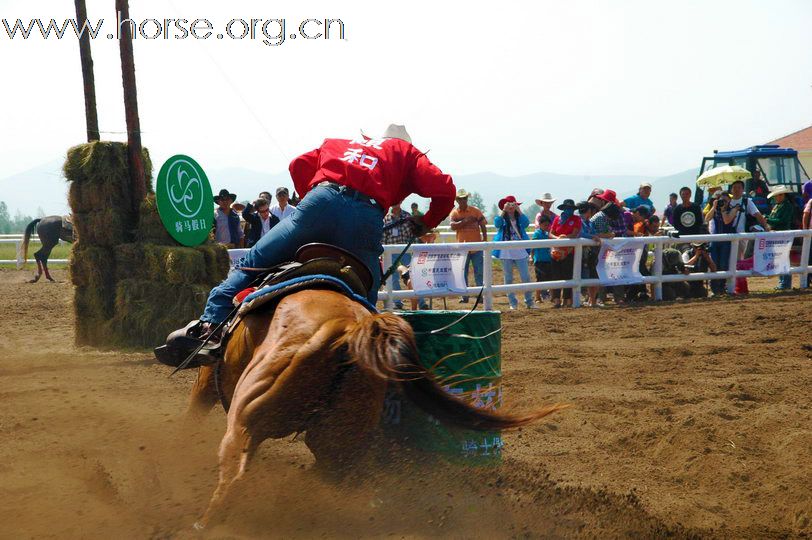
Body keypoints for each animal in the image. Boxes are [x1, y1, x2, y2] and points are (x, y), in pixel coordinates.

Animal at [186, 288, 564, 528]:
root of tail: (350, 327)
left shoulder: (205, 381)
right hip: (338, 439)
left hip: (245, 421)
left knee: (234, 478)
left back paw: (204, 523)